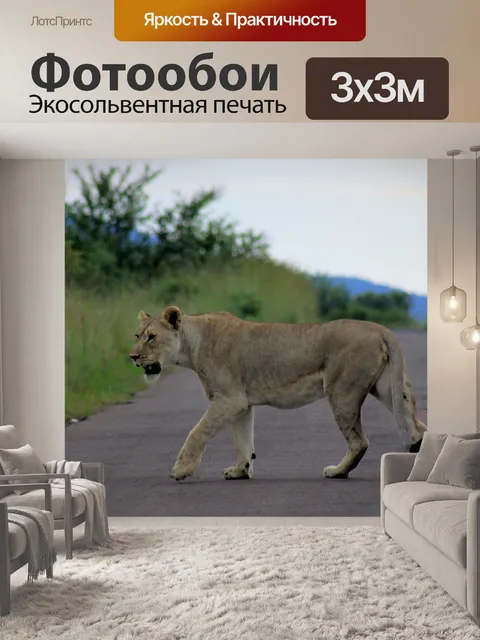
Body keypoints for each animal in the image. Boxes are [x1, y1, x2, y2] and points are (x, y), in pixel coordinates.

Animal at [129, 306, 426, 482]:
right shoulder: (241, 403)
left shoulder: (227, 399)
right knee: (417, 427)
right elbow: (242, 440)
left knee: (359, 441)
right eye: (137, 335)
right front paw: (240, 471)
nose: (132, 357)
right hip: (387, 388)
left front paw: (181, 470)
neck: (192, 346)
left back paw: (338, 471)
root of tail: (378, 327)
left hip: (342, 391)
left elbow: (197, 432)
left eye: (152, 337)